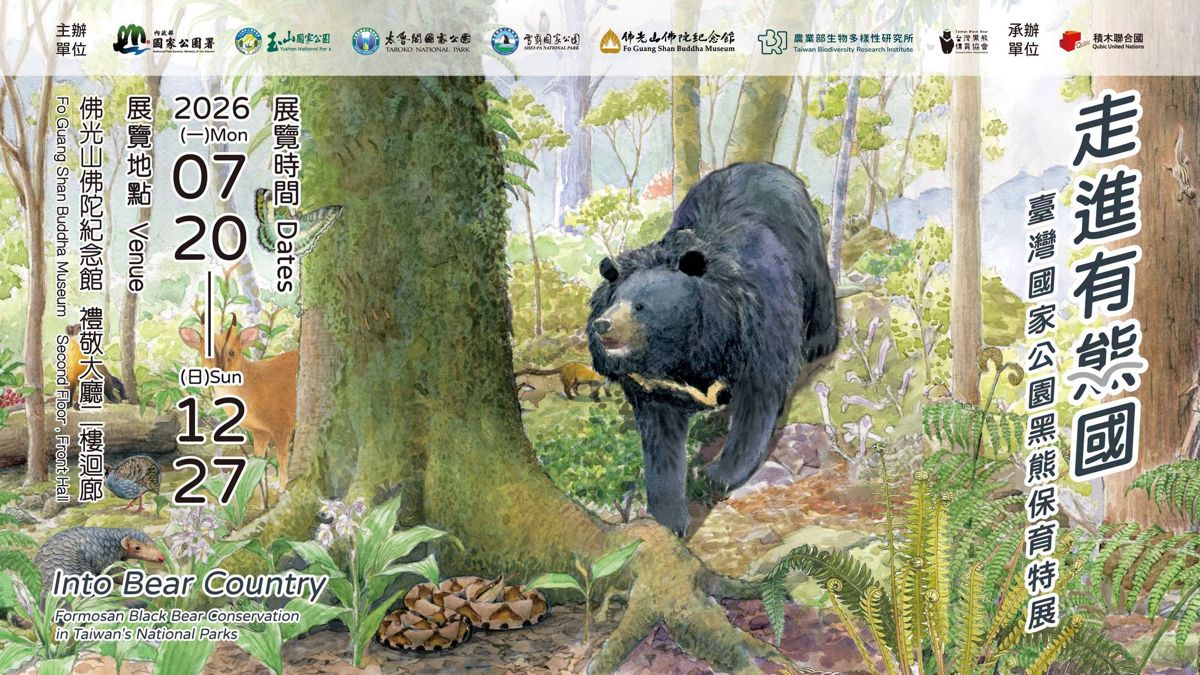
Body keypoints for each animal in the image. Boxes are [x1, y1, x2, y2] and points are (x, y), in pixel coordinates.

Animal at [587, 162, 837, 534]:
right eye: (613, 302)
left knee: (820, 281)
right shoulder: (653, 386)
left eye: (640, 307)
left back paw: (821, 341)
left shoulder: (756, 329)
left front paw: (716, 475)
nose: (602, 326)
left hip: (805, 236)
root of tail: (759, 165)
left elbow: (759, 399)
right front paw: (670, 518)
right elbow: (660, 440)